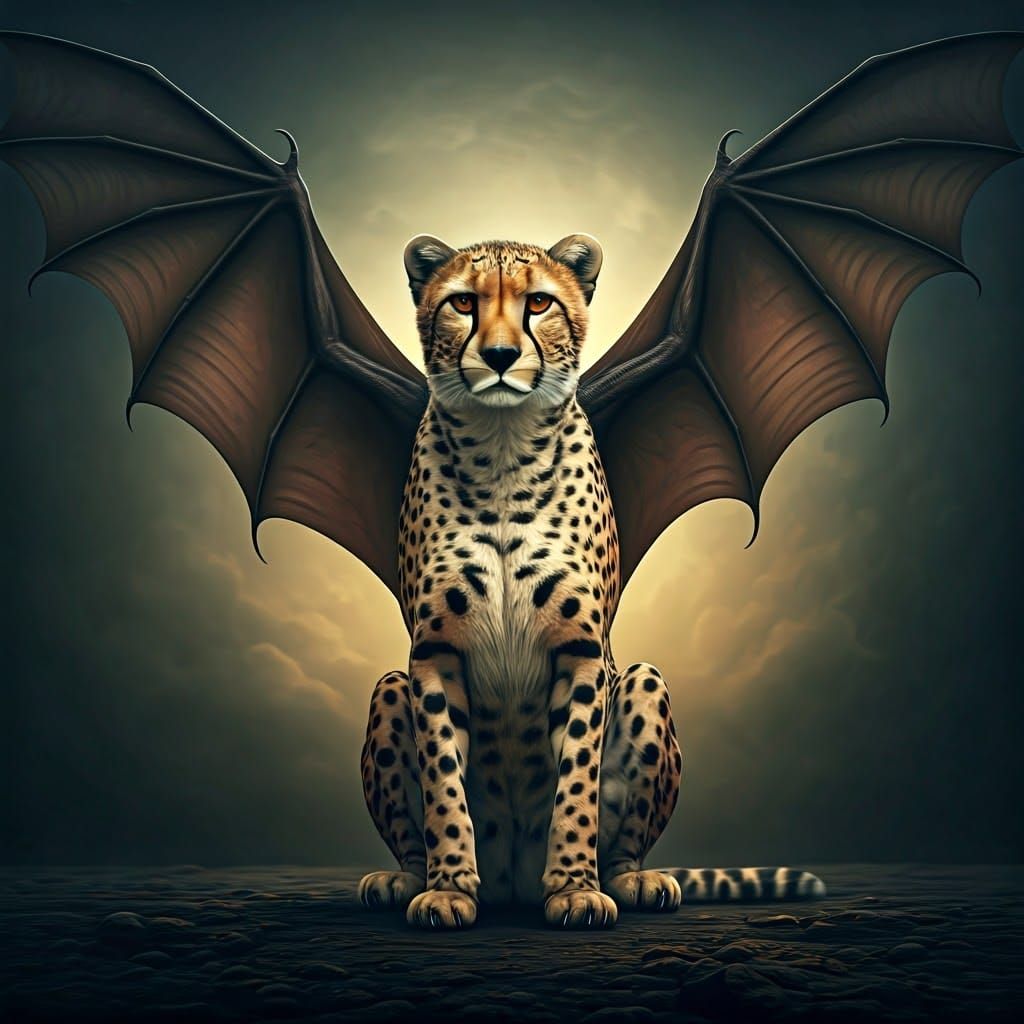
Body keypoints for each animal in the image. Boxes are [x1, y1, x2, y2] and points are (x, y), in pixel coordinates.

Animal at [357, 234, 824, 929]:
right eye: (463, 303)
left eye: (539, 303)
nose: (500, 357)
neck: (501, 450)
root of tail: (513, 886)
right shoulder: (433, 653)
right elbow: (443, 777)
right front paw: (448, 889)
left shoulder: (579, 650)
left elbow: (577, 772)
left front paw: (577, 887)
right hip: (390, 688)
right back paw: (404, 879)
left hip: (645, 681)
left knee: (626, 837)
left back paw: (633, 881)